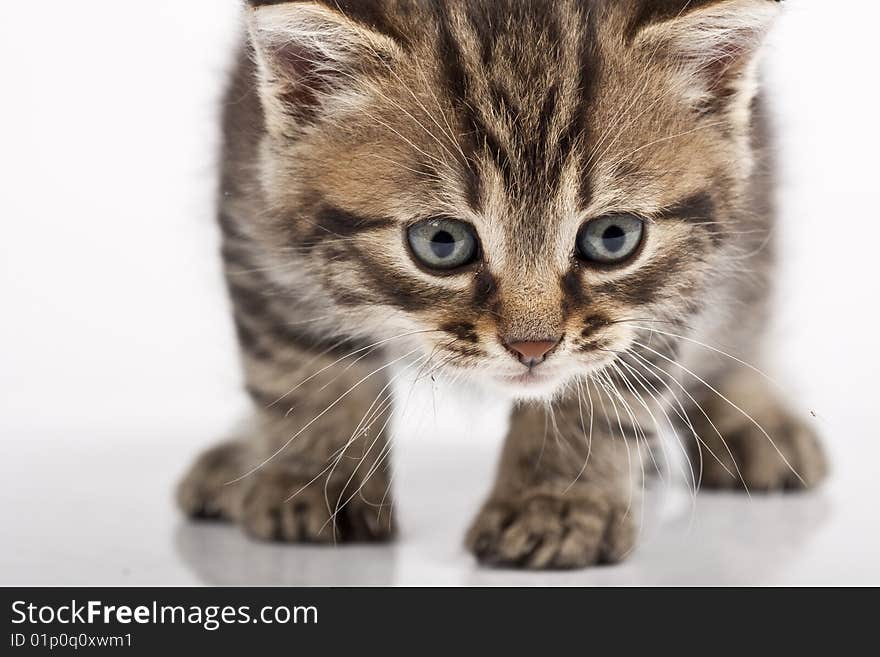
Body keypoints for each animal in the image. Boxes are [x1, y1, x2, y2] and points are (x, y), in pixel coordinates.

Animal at [177, 0, 824, 568]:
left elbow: (602, 392)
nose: (532, 346)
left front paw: (554, 504)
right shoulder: (259, 230)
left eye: (613, 237)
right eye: (442, 241)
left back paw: (755, 422)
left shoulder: (659, 299)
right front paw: (316, 481)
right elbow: (303, 369)